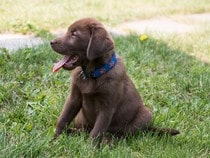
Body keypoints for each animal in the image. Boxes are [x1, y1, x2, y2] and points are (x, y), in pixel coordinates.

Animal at [50, 17, 179, 139]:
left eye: (74, 34)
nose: (51, 42)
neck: (93, 74)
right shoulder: (74, 98)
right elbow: (63, 118)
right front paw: (55, 139)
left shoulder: (107, 107)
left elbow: (96, 132)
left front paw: (90, 147)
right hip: (80, 118)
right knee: (85, 130)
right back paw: (72, 132)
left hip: (145, 114)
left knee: (122, 134)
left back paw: (109, 140)